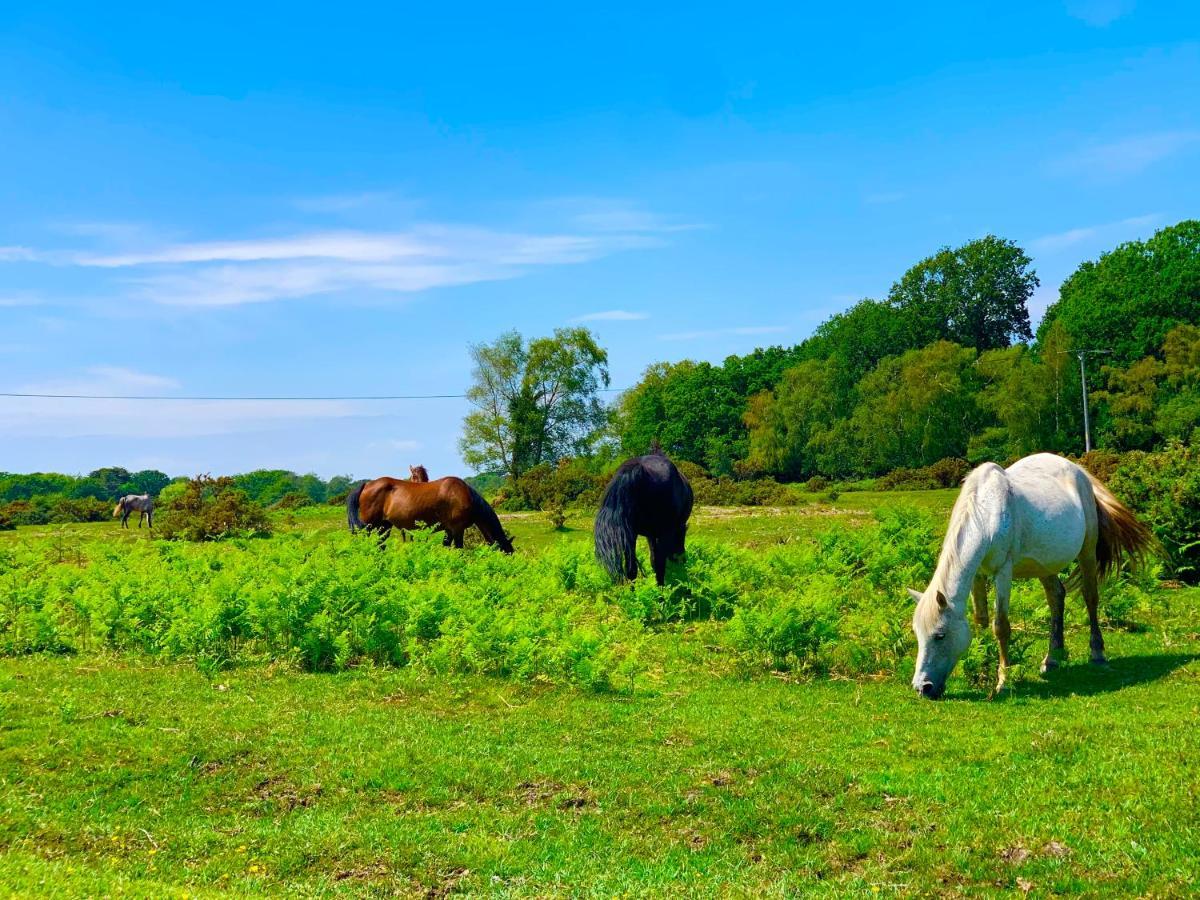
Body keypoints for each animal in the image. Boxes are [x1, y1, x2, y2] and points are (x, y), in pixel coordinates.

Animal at [350, 475, 513, 554]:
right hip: (370, 526)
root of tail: (367, 484)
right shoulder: (457, 529)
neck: (465, 496)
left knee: (380, 544)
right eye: (506, 552)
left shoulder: (449, 530)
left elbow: (446, 546)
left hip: (384, 526)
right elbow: (459, 549)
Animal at [592, 448, 696, 588]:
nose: (682, 559)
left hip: (630, 535)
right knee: (659, 565)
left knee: (632, 569)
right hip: (660, 532)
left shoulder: (649, 535)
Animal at [907, 453, 1152, 700]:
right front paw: (982, 664)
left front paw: (1003, 681)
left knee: (1090, 597)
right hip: (1045, 565)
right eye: (917, 634)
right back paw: (1052, 659)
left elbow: (1001, 626)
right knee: (1056, 597)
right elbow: (981, 620)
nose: (923, 688)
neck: (987, 512)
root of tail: (1079, 471)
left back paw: (1097, 653)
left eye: (940, 635)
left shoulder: (1003, 572)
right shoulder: (978, 574)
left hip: (1087, 551)